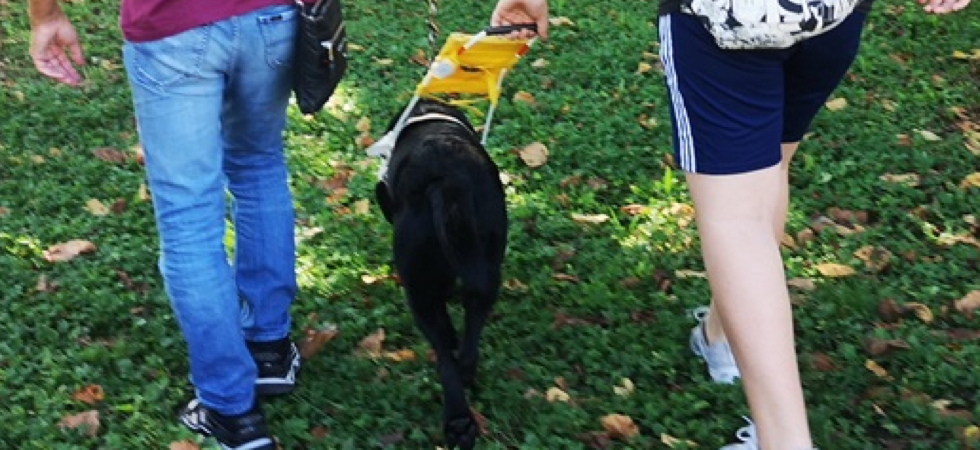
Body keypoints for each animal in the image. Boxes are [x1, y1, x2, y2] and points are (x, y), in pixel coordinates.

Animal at [373, 98, 508, 450]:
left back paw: (457, 421)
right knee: (468, 341)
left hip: (419, 292)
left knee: (445, 353)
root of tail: (447, 180)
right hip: (488, 264)